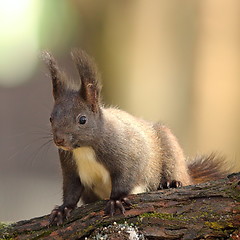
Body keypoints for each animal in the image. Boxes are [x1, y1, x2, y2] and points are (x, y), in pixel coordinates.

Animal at [42, 48, 228, 225]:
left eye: (82, 119)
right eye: (50, 118)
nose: (59, 140)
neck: (85, 148)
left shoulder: (128, 154)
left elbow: (126, 177)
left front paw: (116, 200)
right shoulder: (70, 167)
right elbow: (71, 190)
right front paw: (63, 209)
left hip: (171, 151)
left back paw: (171, 182)